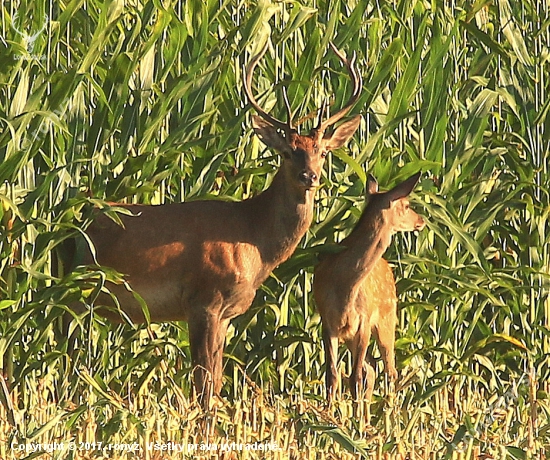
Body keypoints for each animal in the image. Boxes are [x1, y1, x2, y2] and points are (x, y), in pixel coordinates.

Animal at [73, 43, 364, 406]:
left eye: (323, 152)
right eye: (287, 152)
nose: (308, 176)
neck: (253, 239)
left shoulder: (226, 313)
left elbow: (216, 378)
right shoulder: (203, 300)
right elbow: (203, 381)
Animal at [314, 172, 426, 402]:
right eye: (406, 204)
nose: (421, 220)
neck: (344, 285)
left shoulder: (364, 321)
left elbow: (355, 378)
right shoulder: (328, 322)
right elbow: (333, 377)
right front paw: (327, 411)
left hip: (387, 318)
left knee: (389, 369)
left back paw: (388, 408)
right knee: (372, 366)